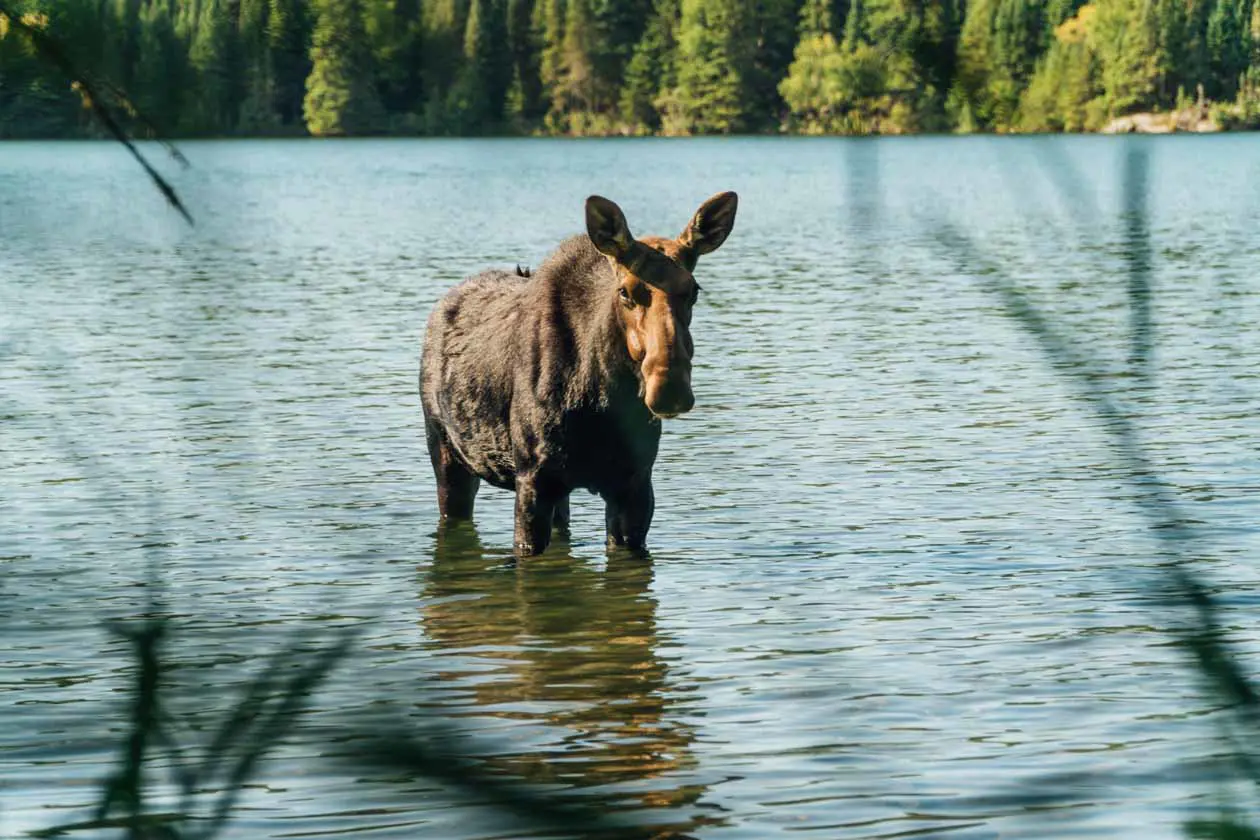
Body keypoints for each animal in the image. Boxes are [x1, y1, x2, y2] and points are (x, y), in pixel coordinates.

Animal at [423, 192, 735, 554]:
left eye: (694, 290)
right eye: (625, 291)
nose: (670, 387)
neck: (600, 396)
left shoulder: (634, 484)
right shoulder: (533, 479)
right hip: (446, 455)